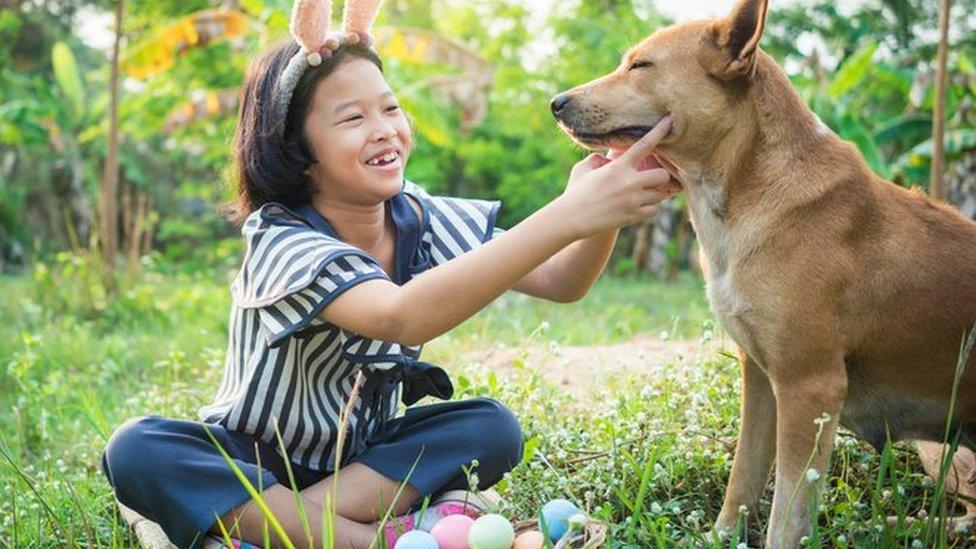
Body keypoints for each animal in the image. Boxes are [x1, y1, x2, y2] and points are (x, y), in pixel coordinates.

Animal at [548, 0, 976, 544]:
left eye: (640, 65)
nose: (555, 103)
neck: (738, 198)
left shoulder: (810, 387)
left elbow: (787, 514)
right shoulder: (759, 377)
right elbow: (744, 479)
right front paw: (720, 537)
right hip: (940, 450)